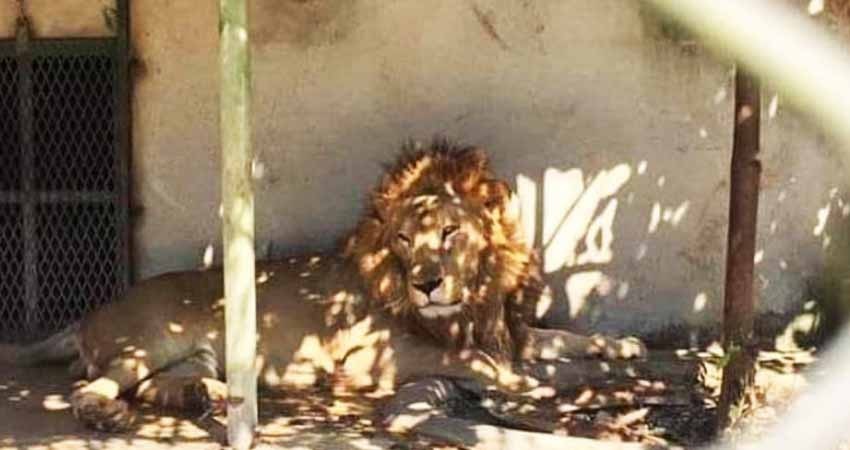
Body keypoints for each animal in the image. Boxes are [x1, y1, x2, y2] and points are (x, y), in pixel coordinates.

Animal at [0, 140, 645, 432]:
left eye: (450, 231)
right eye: (404, 239)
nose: (427, 284)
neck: (474, 296)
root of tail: (88, 314)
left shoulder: (500, 327)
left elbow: (551, 335)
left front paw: (620, 348)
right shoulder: (377, 355)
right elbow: (496, 366)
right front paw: (562, 380)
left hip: (192, 356)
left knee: (157, 386)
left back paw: (207, 397)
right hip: (146, 344)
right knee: (94, 388)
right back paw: (105, 414)